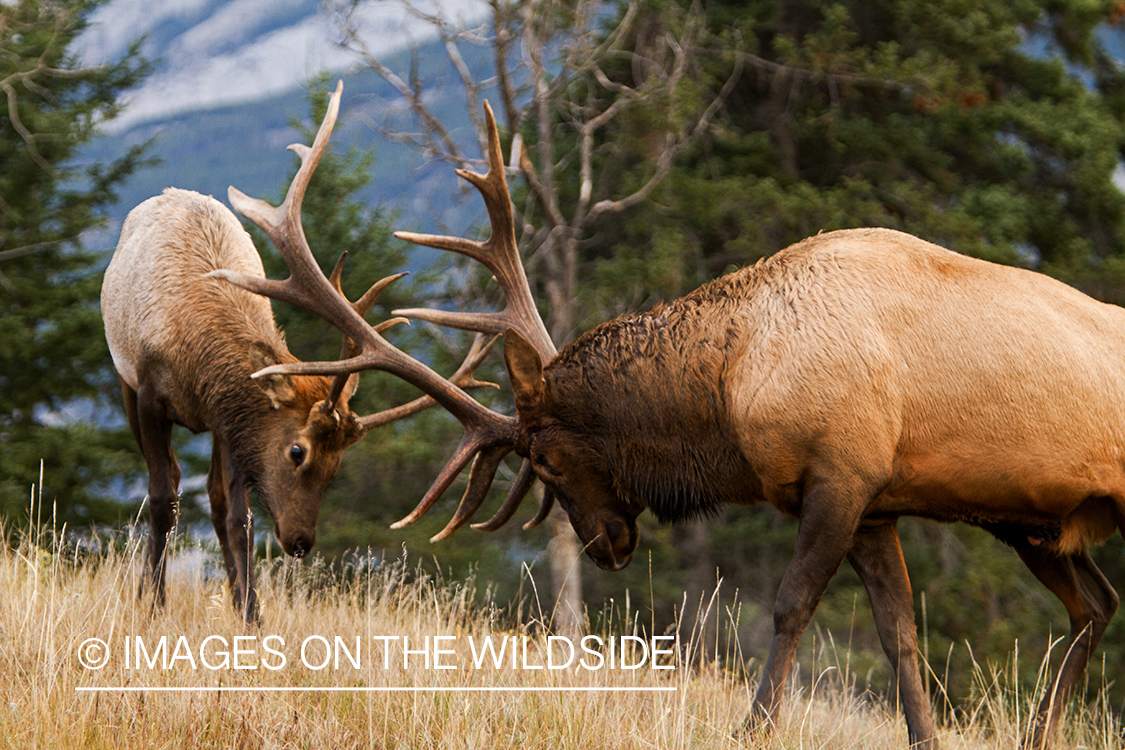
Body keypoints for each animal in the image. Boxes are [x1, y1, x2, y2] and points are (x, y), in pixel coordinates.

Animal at [102, 80, 492, 620]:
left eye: (337, 468)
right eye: (296, 450)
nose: (302, 542)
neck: (196, 354)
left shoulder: (231, 419)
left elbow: (237, 516)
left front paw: (251, 614)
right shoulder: (147, 392)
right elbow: (162, 499)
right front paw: (152, 606)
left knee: (216, 500)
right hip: (124, 380)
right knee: (173, 485)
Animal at [214, 84, 1120, 746]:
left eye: (544, 460)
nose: (604, 546)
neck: (732, 389)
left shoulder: (841, 473)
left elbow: (789, 606)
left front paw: (752, 727)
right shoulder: (875, 502)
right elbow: (899, 637)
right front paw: (921, 736)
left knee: (1094, 607)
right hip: (1033, 522)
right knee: (1095, 606)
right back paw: (1040, 733)